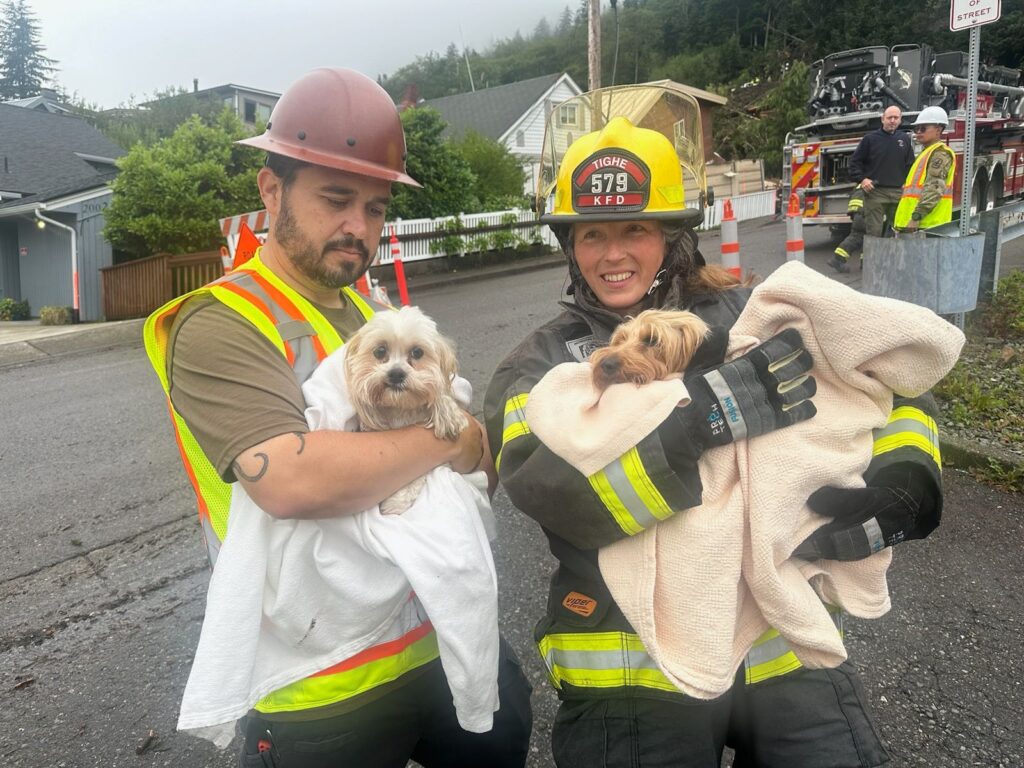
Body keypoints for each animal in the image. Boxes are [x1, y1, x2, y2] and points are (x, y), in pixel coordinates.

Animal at [346, 307, 468, 518]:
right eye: (380, 351)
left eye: (417, 352)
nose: (396, 374)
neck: (400, 410)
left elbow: (419, 475)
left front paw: (396, 502)